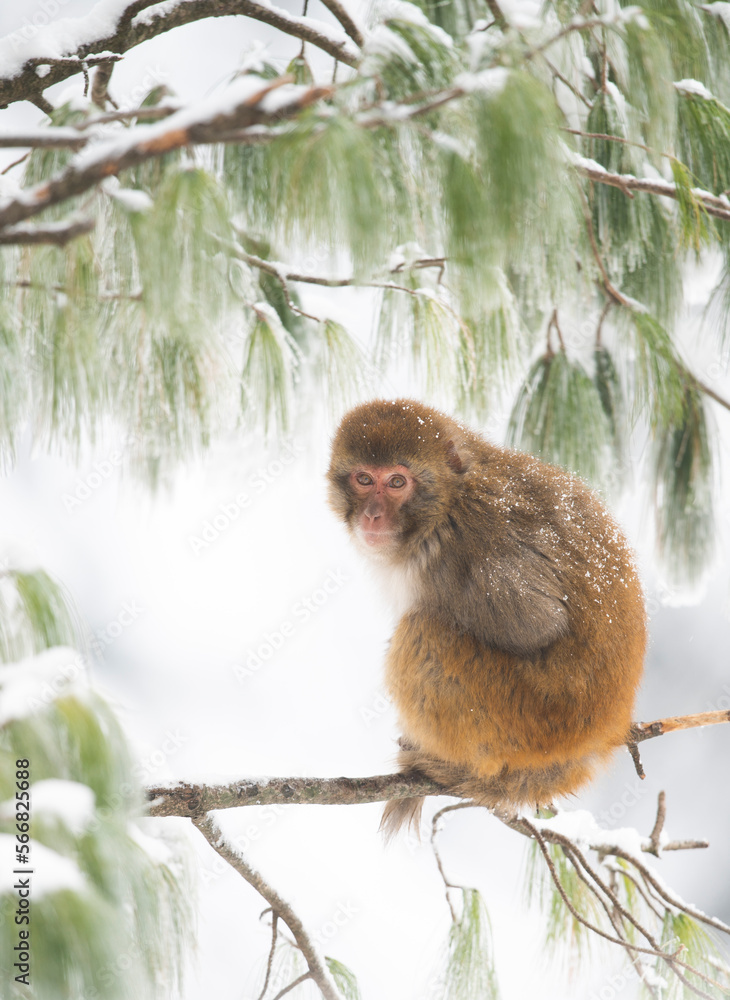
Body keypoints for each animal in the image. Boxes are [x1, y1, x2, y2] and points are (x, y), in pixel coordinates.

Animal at [327, 398, 646, 837]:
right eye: (363, 479)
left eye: (395, 482)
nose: (373, 516)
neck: (449, 501)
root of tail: (599, 736)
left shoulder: (475, 544)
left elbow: (540, 624)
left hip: (524, 721)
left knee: (421, 632)